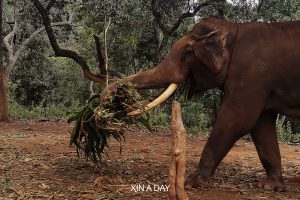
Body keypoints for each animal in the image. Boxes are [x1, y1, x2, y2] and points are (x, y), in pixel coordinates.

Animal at [100, 16, 300, 191]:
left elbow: (237, 121)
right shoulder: (262, 84)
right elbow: (261, 127)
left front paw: (192, 182)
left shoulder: (252, 75)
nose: (102, 111)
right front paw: (270, 186)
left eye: (186, 53)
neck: (233, 29)